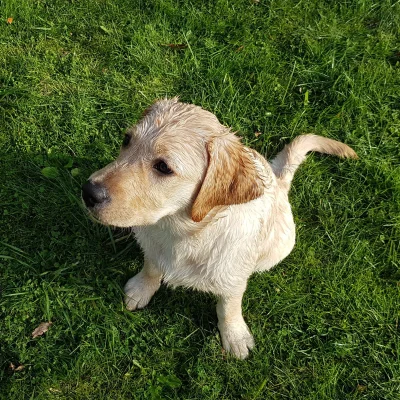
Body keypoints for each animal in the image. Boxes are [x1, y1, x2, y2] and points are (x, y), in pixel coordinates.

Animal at [83, 97, 358, 360]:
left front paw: (235, 336)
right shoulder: (151, 244)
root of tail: (279, 182)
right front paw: (141, 289)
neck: (181, 231)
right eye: (126, 140)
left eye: (163, 167)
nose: (88, 192)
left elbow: (229, 307)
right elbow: (151, 265)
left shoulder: (233, 277)